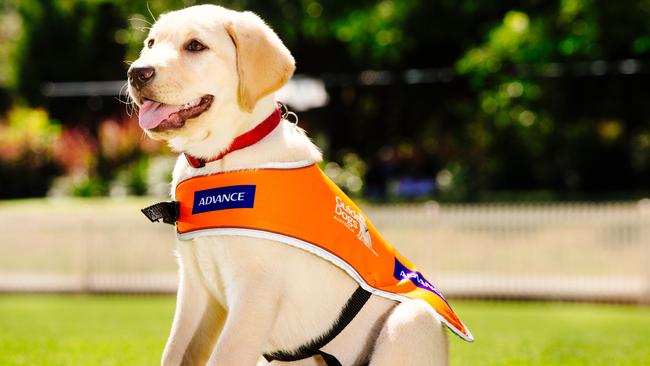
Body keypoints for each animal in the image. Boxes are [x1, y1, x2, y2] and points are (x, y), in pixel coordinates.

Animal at [129, 4, 448, 364]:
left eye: (195, 46)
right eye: (151, 44)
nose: (137, 73)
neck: (222, 157)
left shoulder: (256, 292)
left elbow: (226, 354)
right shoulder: (196, 287)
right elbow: (174, 351)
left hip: (413, 319)